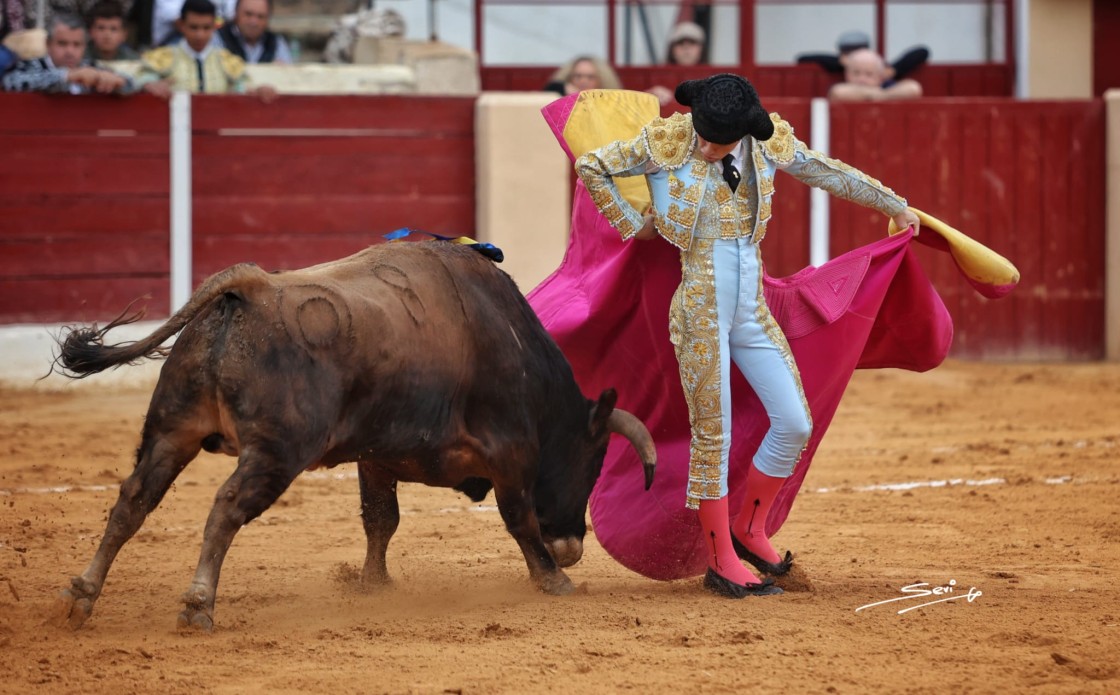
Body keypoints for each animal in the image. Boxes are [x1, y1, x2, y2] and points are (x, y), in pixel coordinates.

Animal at [50, 241, 654, 631]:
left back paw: (81, 595)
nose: (572, 547)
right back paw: (199, 603)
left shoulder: (376, 457)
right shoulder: (511, 455)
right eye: (592, 464)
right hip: (275, 453)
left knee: (134, 499)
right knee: (224, 507)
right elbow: (519, 519)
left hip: (172, 430)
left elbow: (380, 520)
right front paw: (552, 581)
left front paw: (372, 584)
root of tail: (250, 286)